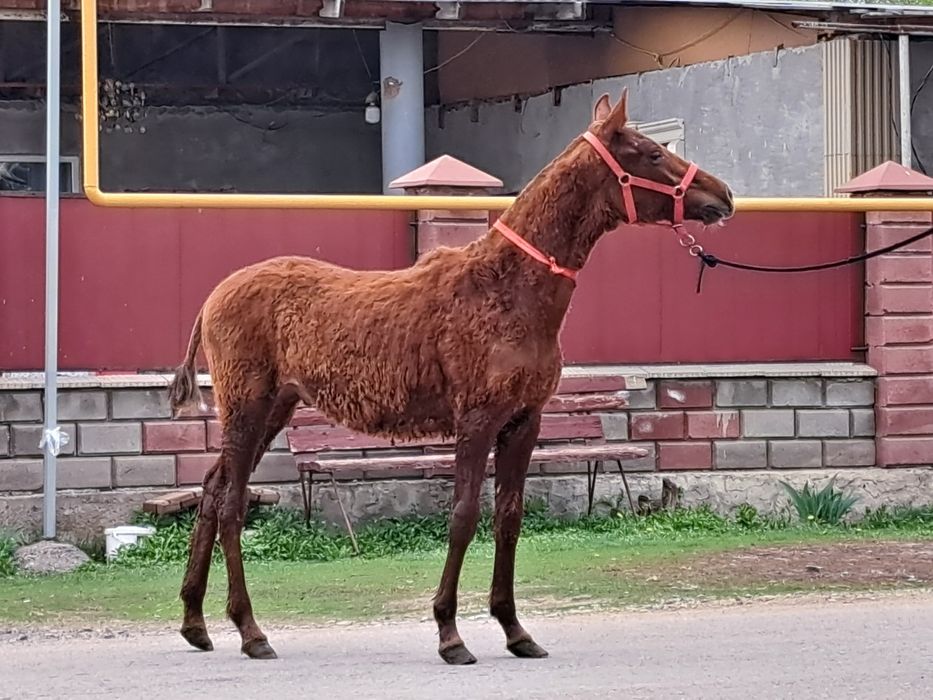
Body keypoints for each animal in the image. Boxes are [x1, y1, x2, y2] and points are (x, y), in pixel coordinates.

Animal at [167, 88, 734, 664]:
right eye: (652, 154)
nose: (724, 195)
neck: (511, 291)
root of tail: (212, 299)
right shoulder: (477, 419)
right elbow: (463, 515)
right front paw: (449, 632)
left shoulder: (524, 421)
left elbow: (509, 517)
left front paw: (515, 628)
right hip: (248, 405)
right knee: (232, 503)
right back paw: (250, 630)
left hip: (275, 407)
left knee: (212, 490)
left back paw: (196, 620)